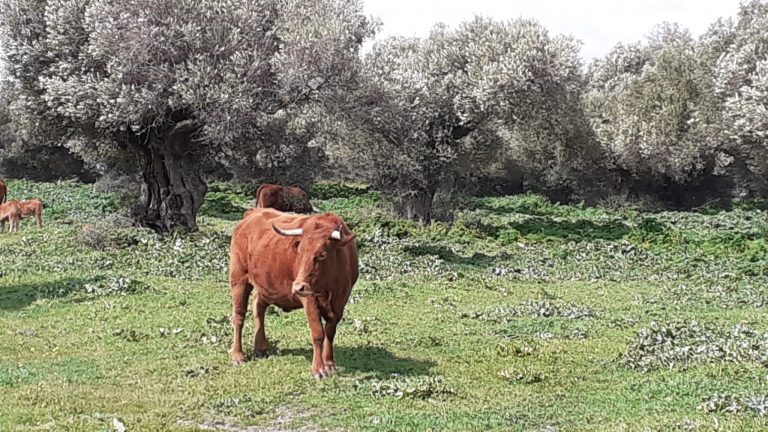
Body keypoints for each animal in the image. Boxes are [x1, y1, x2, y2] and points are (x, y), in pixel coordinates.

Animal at [230, 207, 358, 378]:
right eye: (300, 252)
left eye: (322, 254)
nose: (298, 287)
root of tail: (252, 213)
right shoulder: (309, 299)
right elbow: (318, 332)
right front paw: (318, 369)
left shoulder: (341, 299)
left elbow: (330, 331)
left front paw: (329, 363)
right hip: (238, 279)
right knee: (239, 317)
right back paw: (237, 355)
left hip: (266, 285)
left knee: (258, 306)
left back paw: (261, 348)